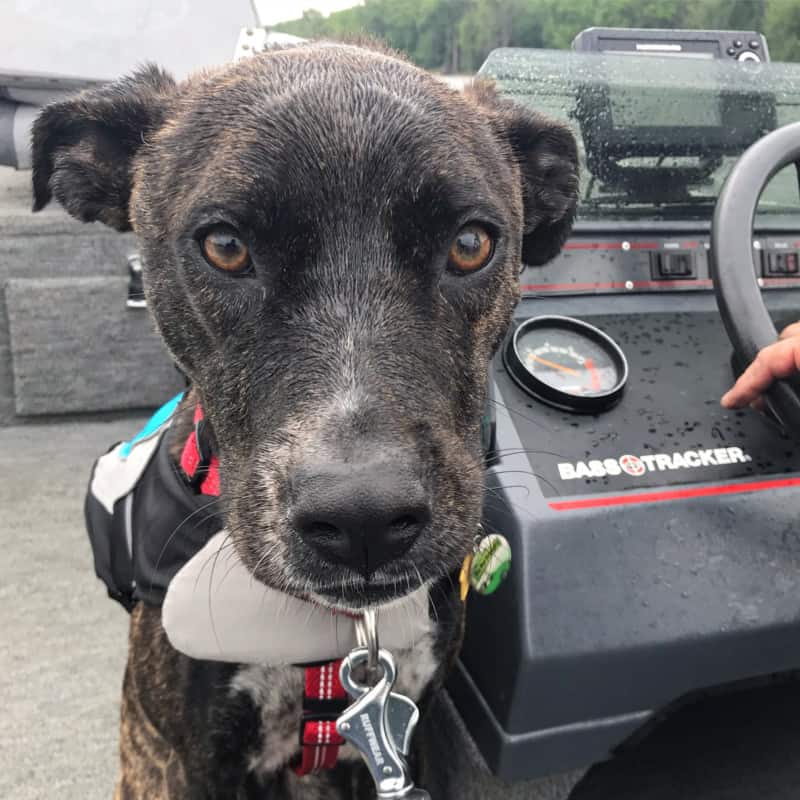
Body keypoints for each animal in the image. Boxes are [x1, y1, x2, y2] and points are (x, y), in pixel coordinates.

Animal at [31, 45, 580, 800]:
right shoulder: (197, 759)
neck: (339, 634)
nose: (364, 521)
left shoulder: (408, 723)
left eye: (471, 242)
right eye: (225, 246)